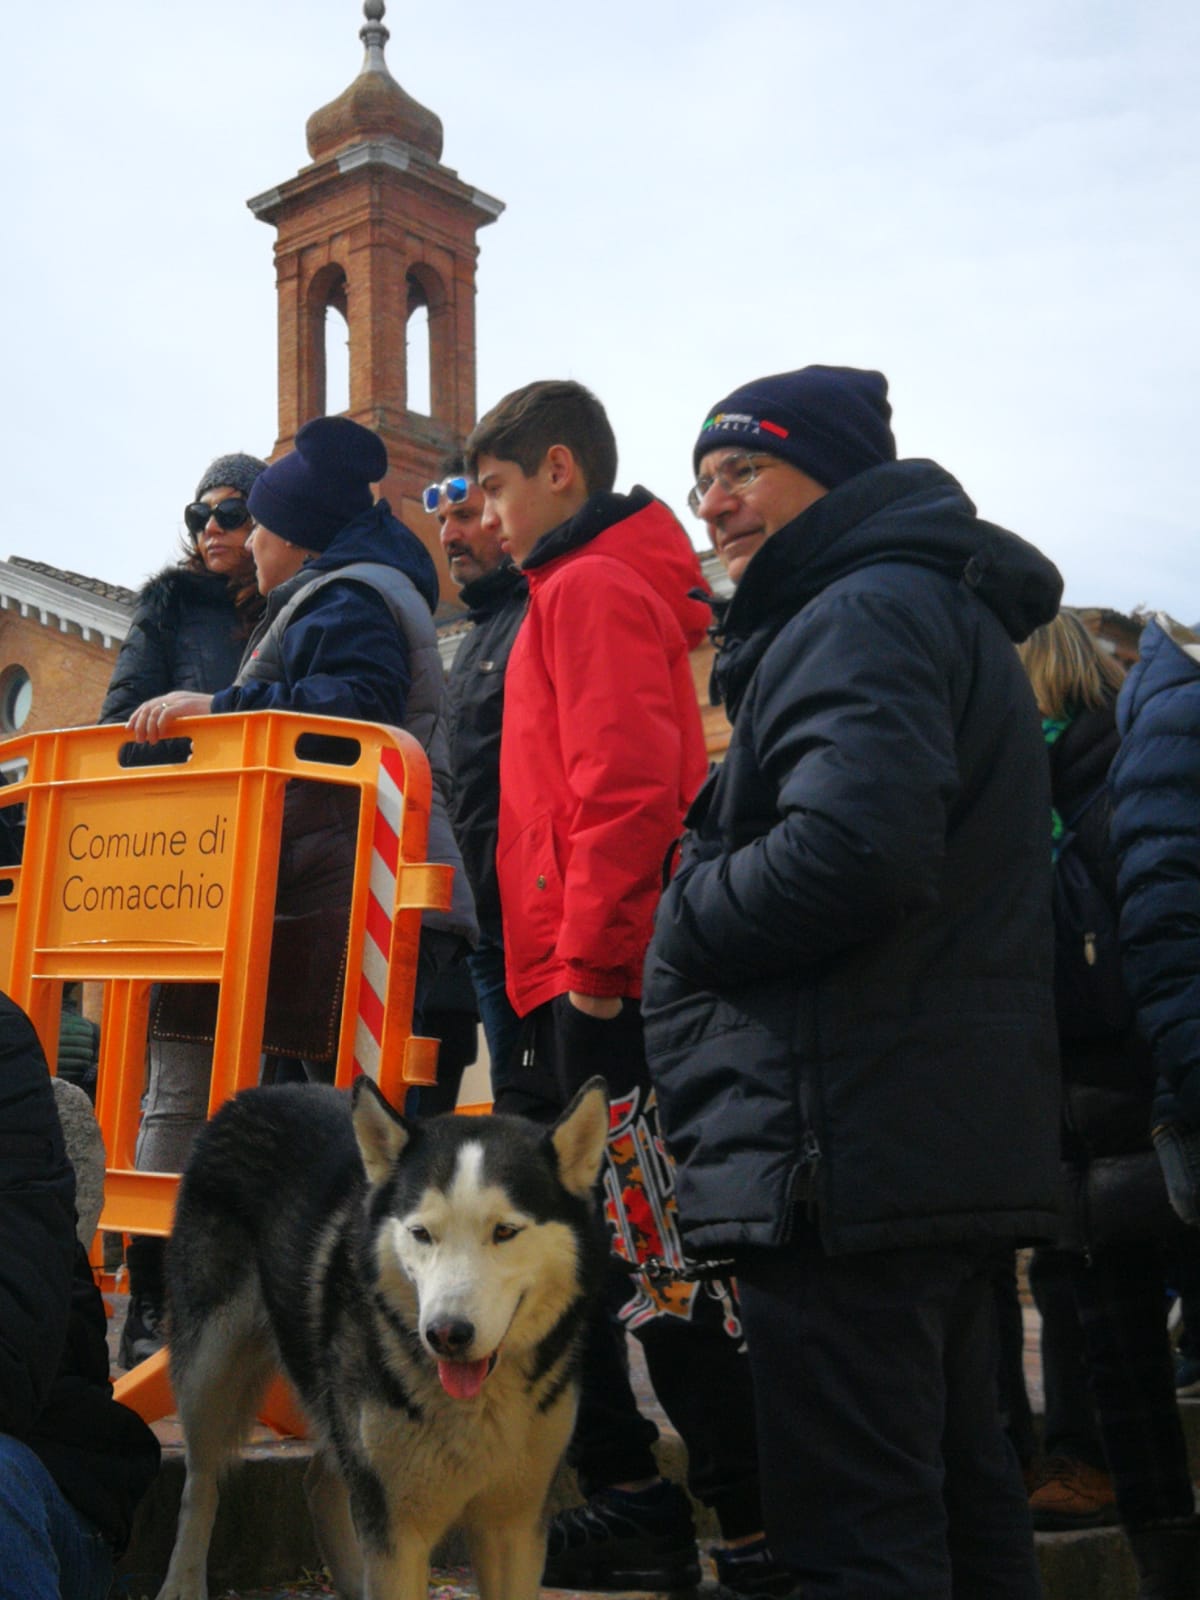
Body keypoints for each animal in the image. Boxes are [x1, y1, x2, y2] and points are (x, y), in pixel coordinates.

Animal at [155, 1075, 611, 1600]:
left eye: (504, 1231)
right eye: (422, 1233)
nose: (446, 1334)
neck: (476, 1407)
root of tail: (257, 1091)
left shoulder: (513, 1529)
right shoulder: (399, 1531)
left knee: (318, 1482)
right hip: (212, 1370)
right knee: (200, 1481)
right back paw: (183, 1581)